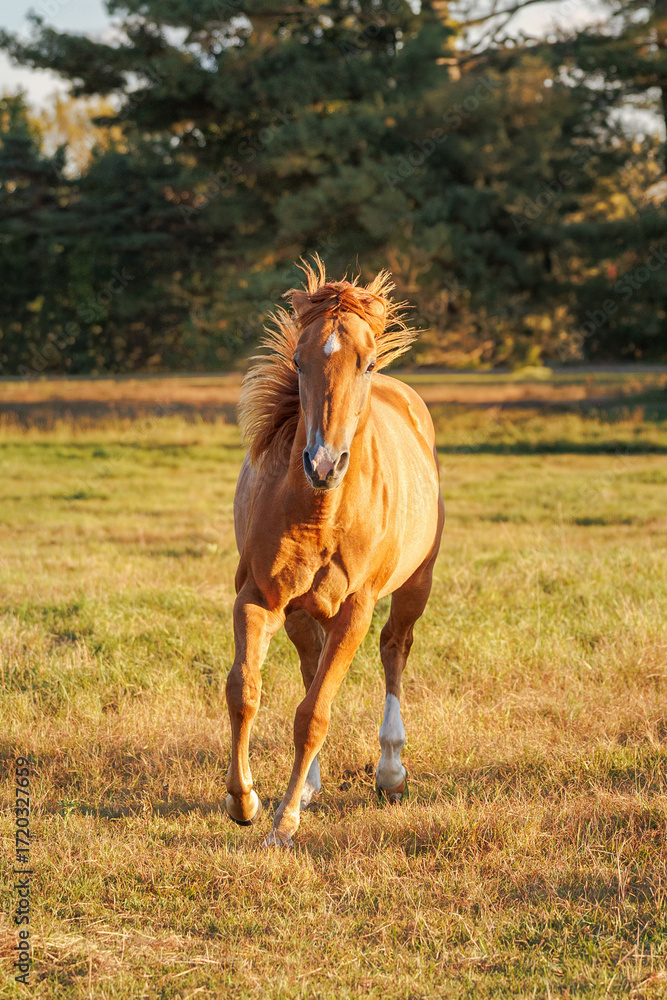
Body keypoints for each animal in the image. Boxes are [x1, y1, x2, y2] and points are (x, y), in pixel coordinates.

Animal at [227, 258, 444, 847]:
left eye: (366, 363)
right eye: (298, 361)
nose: (324, 463)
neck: (320, 511)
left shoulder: (356, 610)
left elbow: (315, 714)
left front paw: (283, 824)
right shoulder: (258, 597)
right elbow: (245, 690)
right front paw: (245, 800)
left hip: (415, 585)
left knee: (395, 648)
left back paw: (390, 773)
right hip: (300, 611)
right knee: (309, 662)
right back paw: (307, 786)